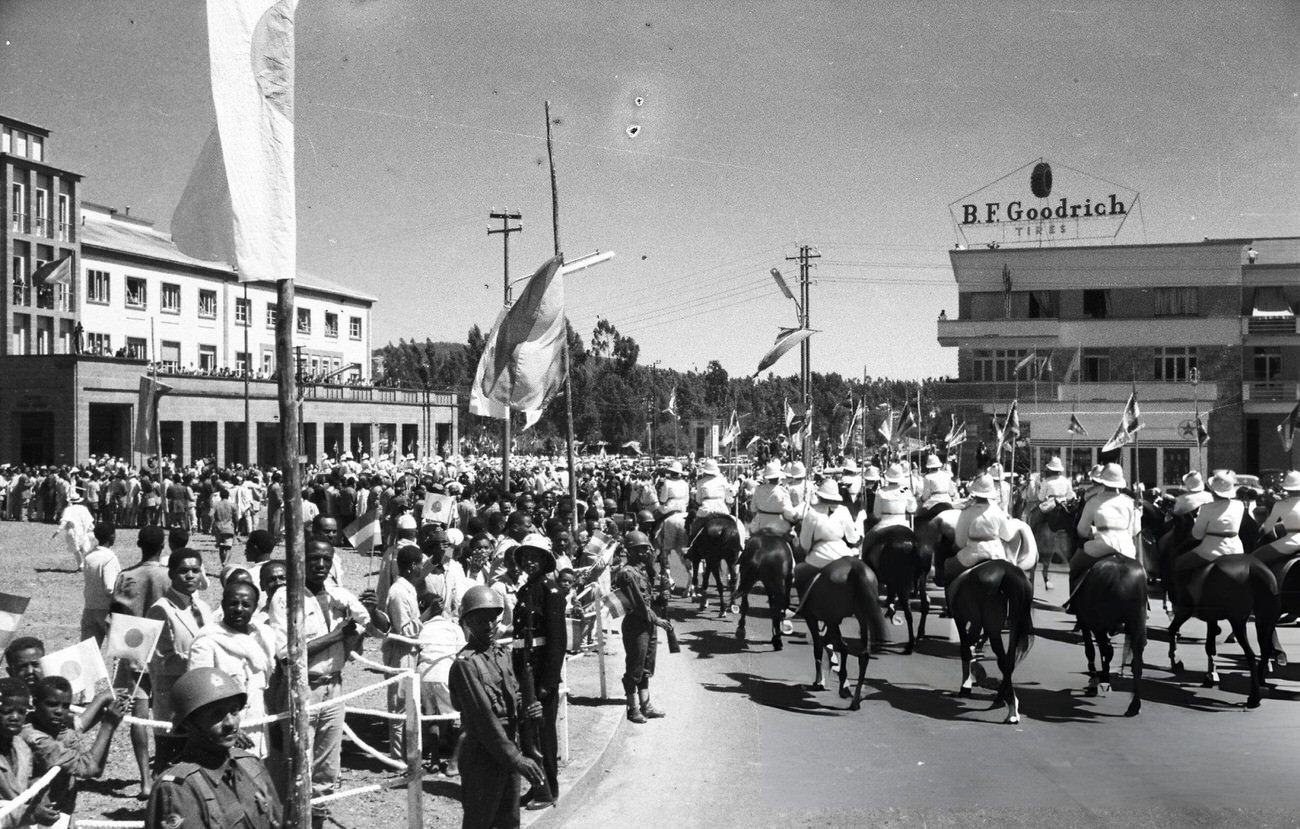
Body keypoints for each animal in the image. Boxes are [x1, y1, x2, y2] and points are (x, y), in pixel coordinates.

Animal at [785, 556, 889, 712]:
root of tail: (856, 568)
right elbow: (827, 643)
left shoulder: (812, 618)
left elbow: (819, 646)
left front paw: (821, 681)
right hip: (861, 615)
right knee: (862, 654)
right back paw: (854, 700)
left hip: (833, 618)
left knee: (842, 646)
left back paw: (844, 688)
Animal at [868, 524, 930, 654]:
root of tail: (914, 543)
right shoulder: (892, 584)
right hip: (921, 576)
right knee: (924, 605)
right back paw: (920, 634)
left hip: (903, 583)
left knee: (909, 613)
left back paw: (910, 645)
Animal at [1066, 556, 1149, 717]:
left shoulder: (1086, 623)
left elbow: (1091, 650)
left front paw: (1094, 685)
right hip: (1136, 624)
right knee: (1136, 662)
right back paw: (1134, 704)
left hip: (1098, 624)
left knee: (1104, 649)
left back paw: (1101, 680)